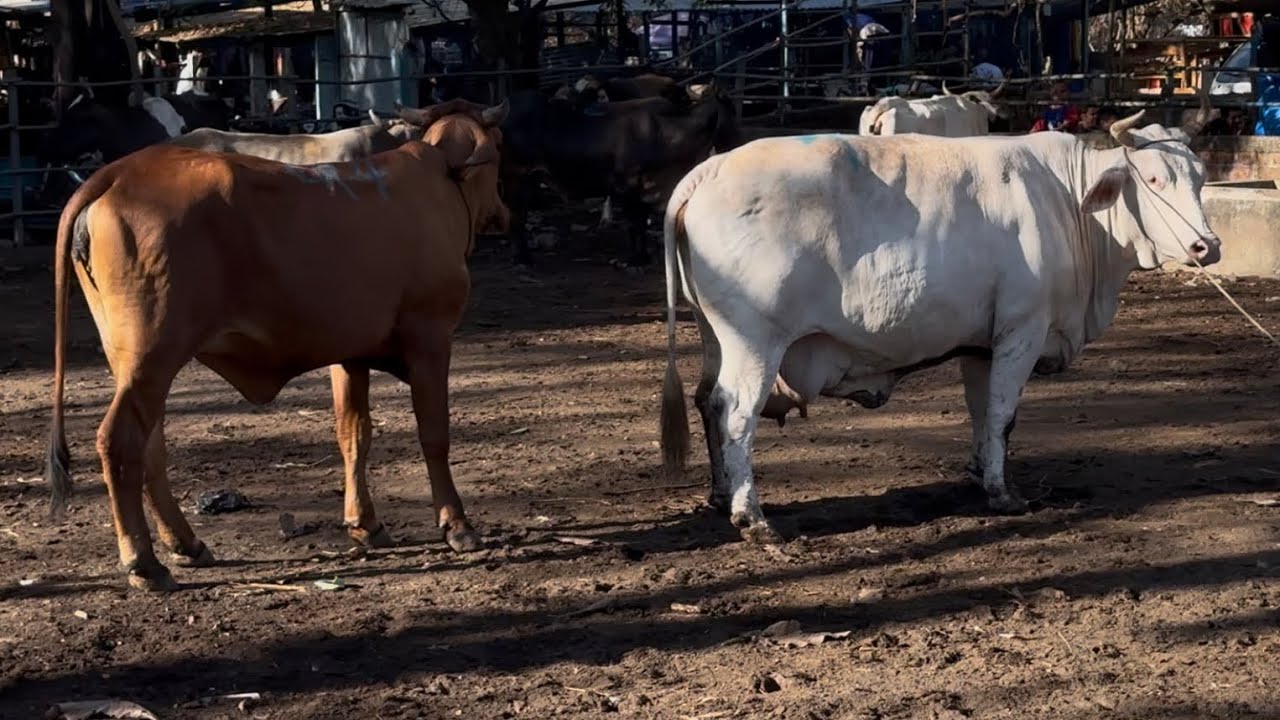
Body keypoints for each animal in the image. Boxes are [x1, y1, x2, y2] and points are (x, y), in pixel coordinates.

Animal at [43, 99, 511, 592]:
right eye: (499, 148)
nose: (502, 212)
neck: (440, 187)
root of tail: (118, 172)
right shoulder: (431, 339)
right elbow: (434, 435)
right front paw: (457, 525)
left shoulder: (349, 354)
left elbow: (353, 433)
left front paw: (366, 524)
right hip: (152, 355)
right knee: (119, 442)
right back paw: (143, 562)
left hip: (133, 362)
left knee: (150, 446)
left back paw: (186, 544)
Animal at [658, 104, 1219, 544]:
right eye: (1153, 179)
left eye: (1199, 176)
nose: (1206, 246)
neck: (1067, 199)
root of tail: (712, 169)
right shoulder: (1022, 330)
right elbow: (1002, 415)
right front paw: (1002, 494)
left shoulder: (981, 345)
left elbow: (981, 414)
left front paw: (979, 471)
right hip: (755, 342)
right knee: (736, 413)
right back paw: (751, 517)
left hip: (714, 336)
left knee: (707, 401)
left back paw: (719, 495)